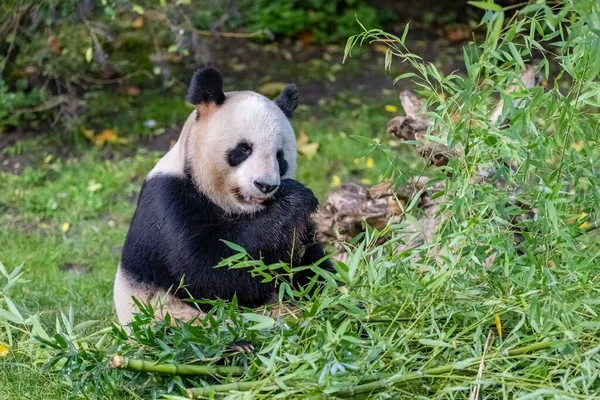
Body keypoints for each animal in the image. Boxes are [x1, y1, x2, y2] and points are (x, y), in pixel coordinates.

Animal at [113, 67, 332, 326]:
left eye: (280, 156)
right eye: (243, 149)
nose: (265, 185)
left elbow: (307, 266)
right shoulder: (168, 202)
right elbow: (209, 272)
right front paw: (296, 198)